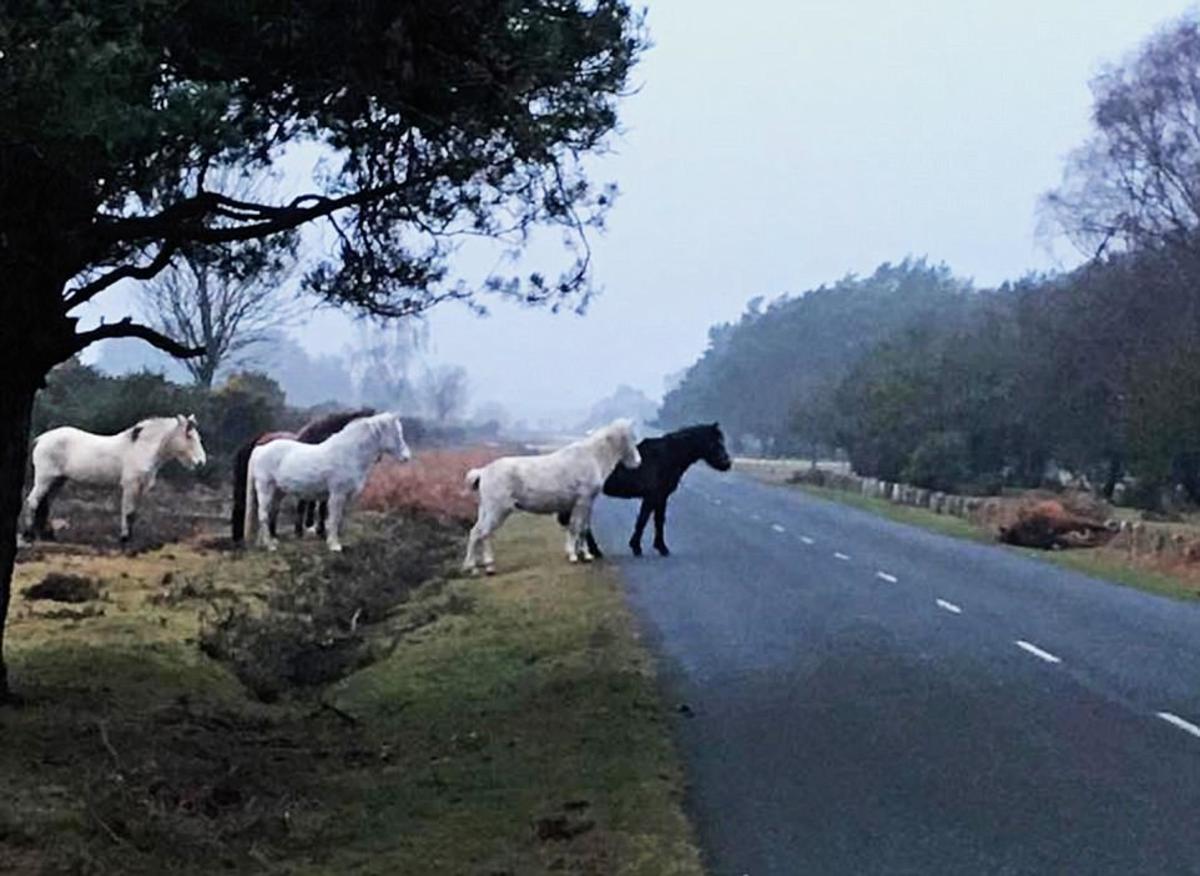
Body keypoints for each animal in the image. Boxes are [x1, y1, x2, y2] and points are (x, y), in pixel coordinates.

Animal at [24, 412, 208, 542]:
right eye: (189, 436)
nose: (201, 462)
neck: (141, 447)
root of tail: (42, 439)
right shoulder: (130, 485)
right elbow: (128, 511)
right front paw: (124, 539)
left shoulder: (140, 487)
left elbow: (134, 513)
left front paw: (130, 538)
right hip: (44, 479)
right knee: (33, 501)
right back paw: (28, 535)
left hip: (58, 480)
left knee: (45, 504)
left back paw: (47, 536)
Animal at [243, 408, 412, 547]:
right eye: (397, 434)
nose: (407, 457)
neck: (349, 453)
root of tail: (260, 448)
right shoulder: (337, 494)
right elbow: (334, 518)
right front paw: (334, 545)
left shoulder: (345, 496)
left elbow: (338, 518)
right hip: (265, 488)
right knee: (263, 514)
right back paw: (269, 545)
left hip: (278, 491)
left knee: (269, 512)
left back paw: (266, 541)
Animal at [463, 415, 643, 573]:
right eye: (631, 437)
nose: (638, 462)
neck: (591, 457)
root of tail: (483, 471)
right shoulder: (582, 501)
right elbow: (577, 527)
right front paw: (575, 556)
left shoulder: (585, 503)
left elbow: (582, 528)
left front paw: (583, 554)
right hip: (498, 510)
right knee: (485, 533)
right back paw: (488, 566)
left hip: (486, 510)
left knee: (475, 533)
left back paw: (473, 567)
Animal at [559, 422, 729, 556]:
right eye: (715, 443)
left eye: (722, 441)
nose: (727, 463)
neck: (669, 456)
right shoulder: (653, 496)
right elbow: (645, 520)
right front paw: (643, 547)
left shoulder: (660, 497)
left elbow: (656, 520)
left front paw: (656, 546)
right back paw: (594, 550)